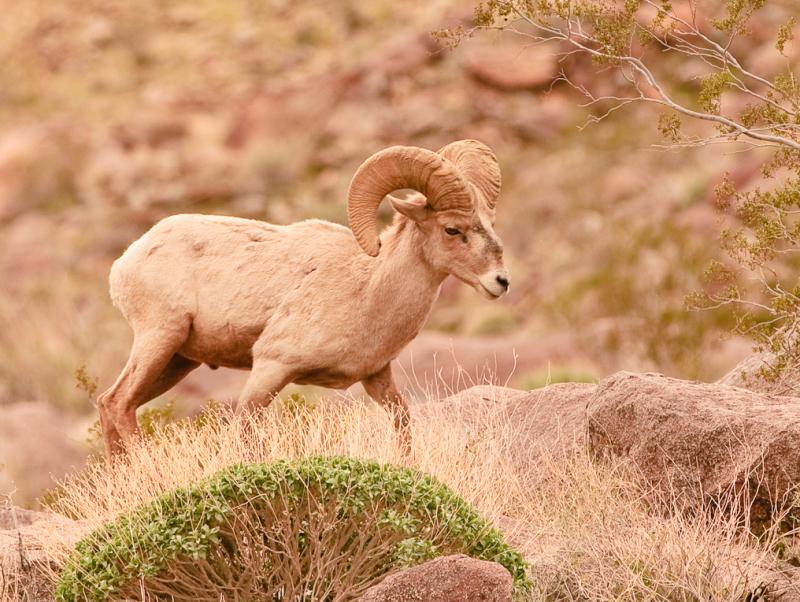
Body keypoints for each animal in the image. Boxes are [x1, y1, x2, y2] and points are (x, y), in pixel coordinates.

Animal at [97, 139, 510, 460]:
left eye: (491, 224)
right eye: (452, 229)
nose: (501, 281)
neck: (368, 291)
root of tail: (126, 261)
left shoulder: (378, 378)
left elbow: (402, 425)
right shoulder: (271, 366)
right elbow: (246, 428)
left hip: (179, 361)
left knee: (110, 404)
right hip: (160, 339)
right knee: (119, 402)